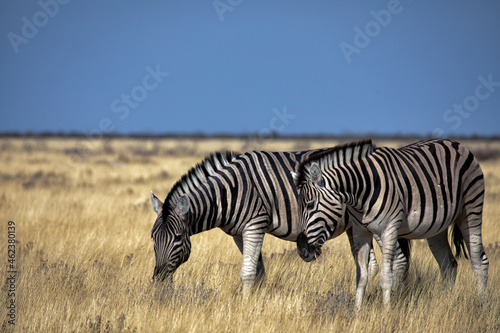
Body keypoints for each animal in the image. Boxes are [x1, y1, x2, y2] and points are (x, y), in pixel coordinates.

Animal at [150, 148, 380, 294]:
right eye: (153, 238)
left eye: (178, 237)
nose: (158, 280)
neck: (228, 192)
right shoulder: (239, 233)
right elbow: (258, 273)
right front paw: (255, 304)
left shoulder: (255, 225)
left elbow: (247, 273)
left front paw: (243, 309)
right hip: (354, 226)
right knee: (370, 265)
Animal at [294, 138, 486, 308]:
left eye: (310, 205)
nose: (302, 249)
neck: (362, 191)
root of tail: (456, 143)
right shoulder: (360, 231)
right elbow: (361, 276)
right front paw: (357, 311)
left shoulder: (389, 229)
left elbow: (386, 276)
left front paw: (386, 311)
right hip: (437, 227)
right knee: (448, 265)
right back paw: (446, 302)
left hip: (471, 209)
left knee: (479, 260)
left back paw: (482, 304)